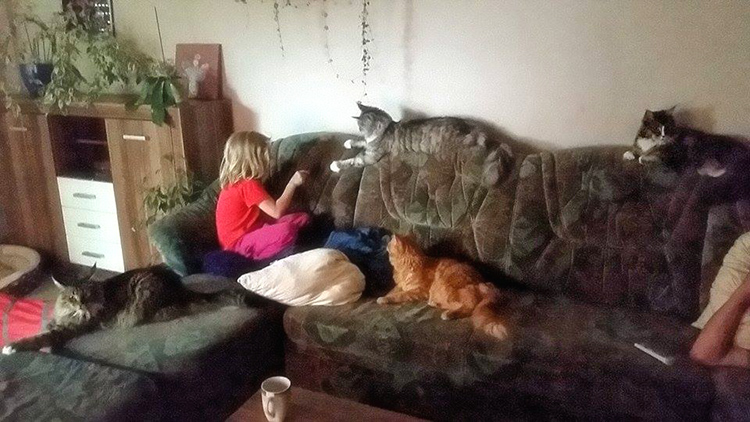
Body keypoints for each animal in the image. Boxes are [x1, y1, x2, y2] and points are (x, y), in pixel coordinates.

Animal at [1, 265, 253, 355]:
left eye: (87, 295)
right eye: (73, 297)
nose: (82, 305)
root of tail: (179, 287)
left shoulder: (69, 329)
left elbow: (40, 337)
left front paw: (11, 347)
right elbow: (46, 327)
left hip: (144, 294)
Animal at [329, 103, 513, 186]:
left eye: (360, 126)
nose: (359, 130)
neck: (386, 130)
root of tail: (473, 127)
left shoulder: (370, 157)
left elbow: (353, 159)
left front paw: (336, 165)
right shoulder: (367, 145)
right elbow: (359, 142)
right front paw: (349, 142)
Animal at [378, 234, 508, 339]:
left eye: (389, 246)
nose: (385, 246)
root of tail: (483, 283)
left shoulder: (419, 290)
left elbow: (399, 295)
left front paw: (384, 299)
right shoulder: (401, 285)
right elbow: (393, 291)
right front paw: (385, 295)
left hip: (447, 287)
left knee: (470, 306)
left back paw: (448, 314)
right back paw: (436, 304)